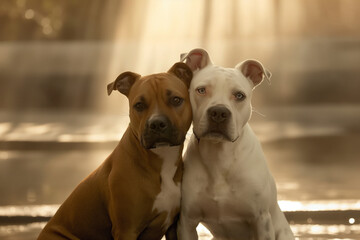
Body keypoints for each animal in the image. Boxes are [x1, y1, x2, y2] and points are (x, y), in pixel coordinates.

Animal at [37, 62, 193, 240]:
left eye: (176, 100)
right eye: (139, 105)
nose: (156, 123)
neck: (161, 160)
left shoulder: (173, 226)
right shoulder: (127, 229)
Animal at [178, 47, 296, 239]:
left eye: (239, 95)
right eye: (201, 90)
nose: (219, 112)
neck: (219, 156)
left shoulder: (261, 220)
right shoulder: (187, 222)